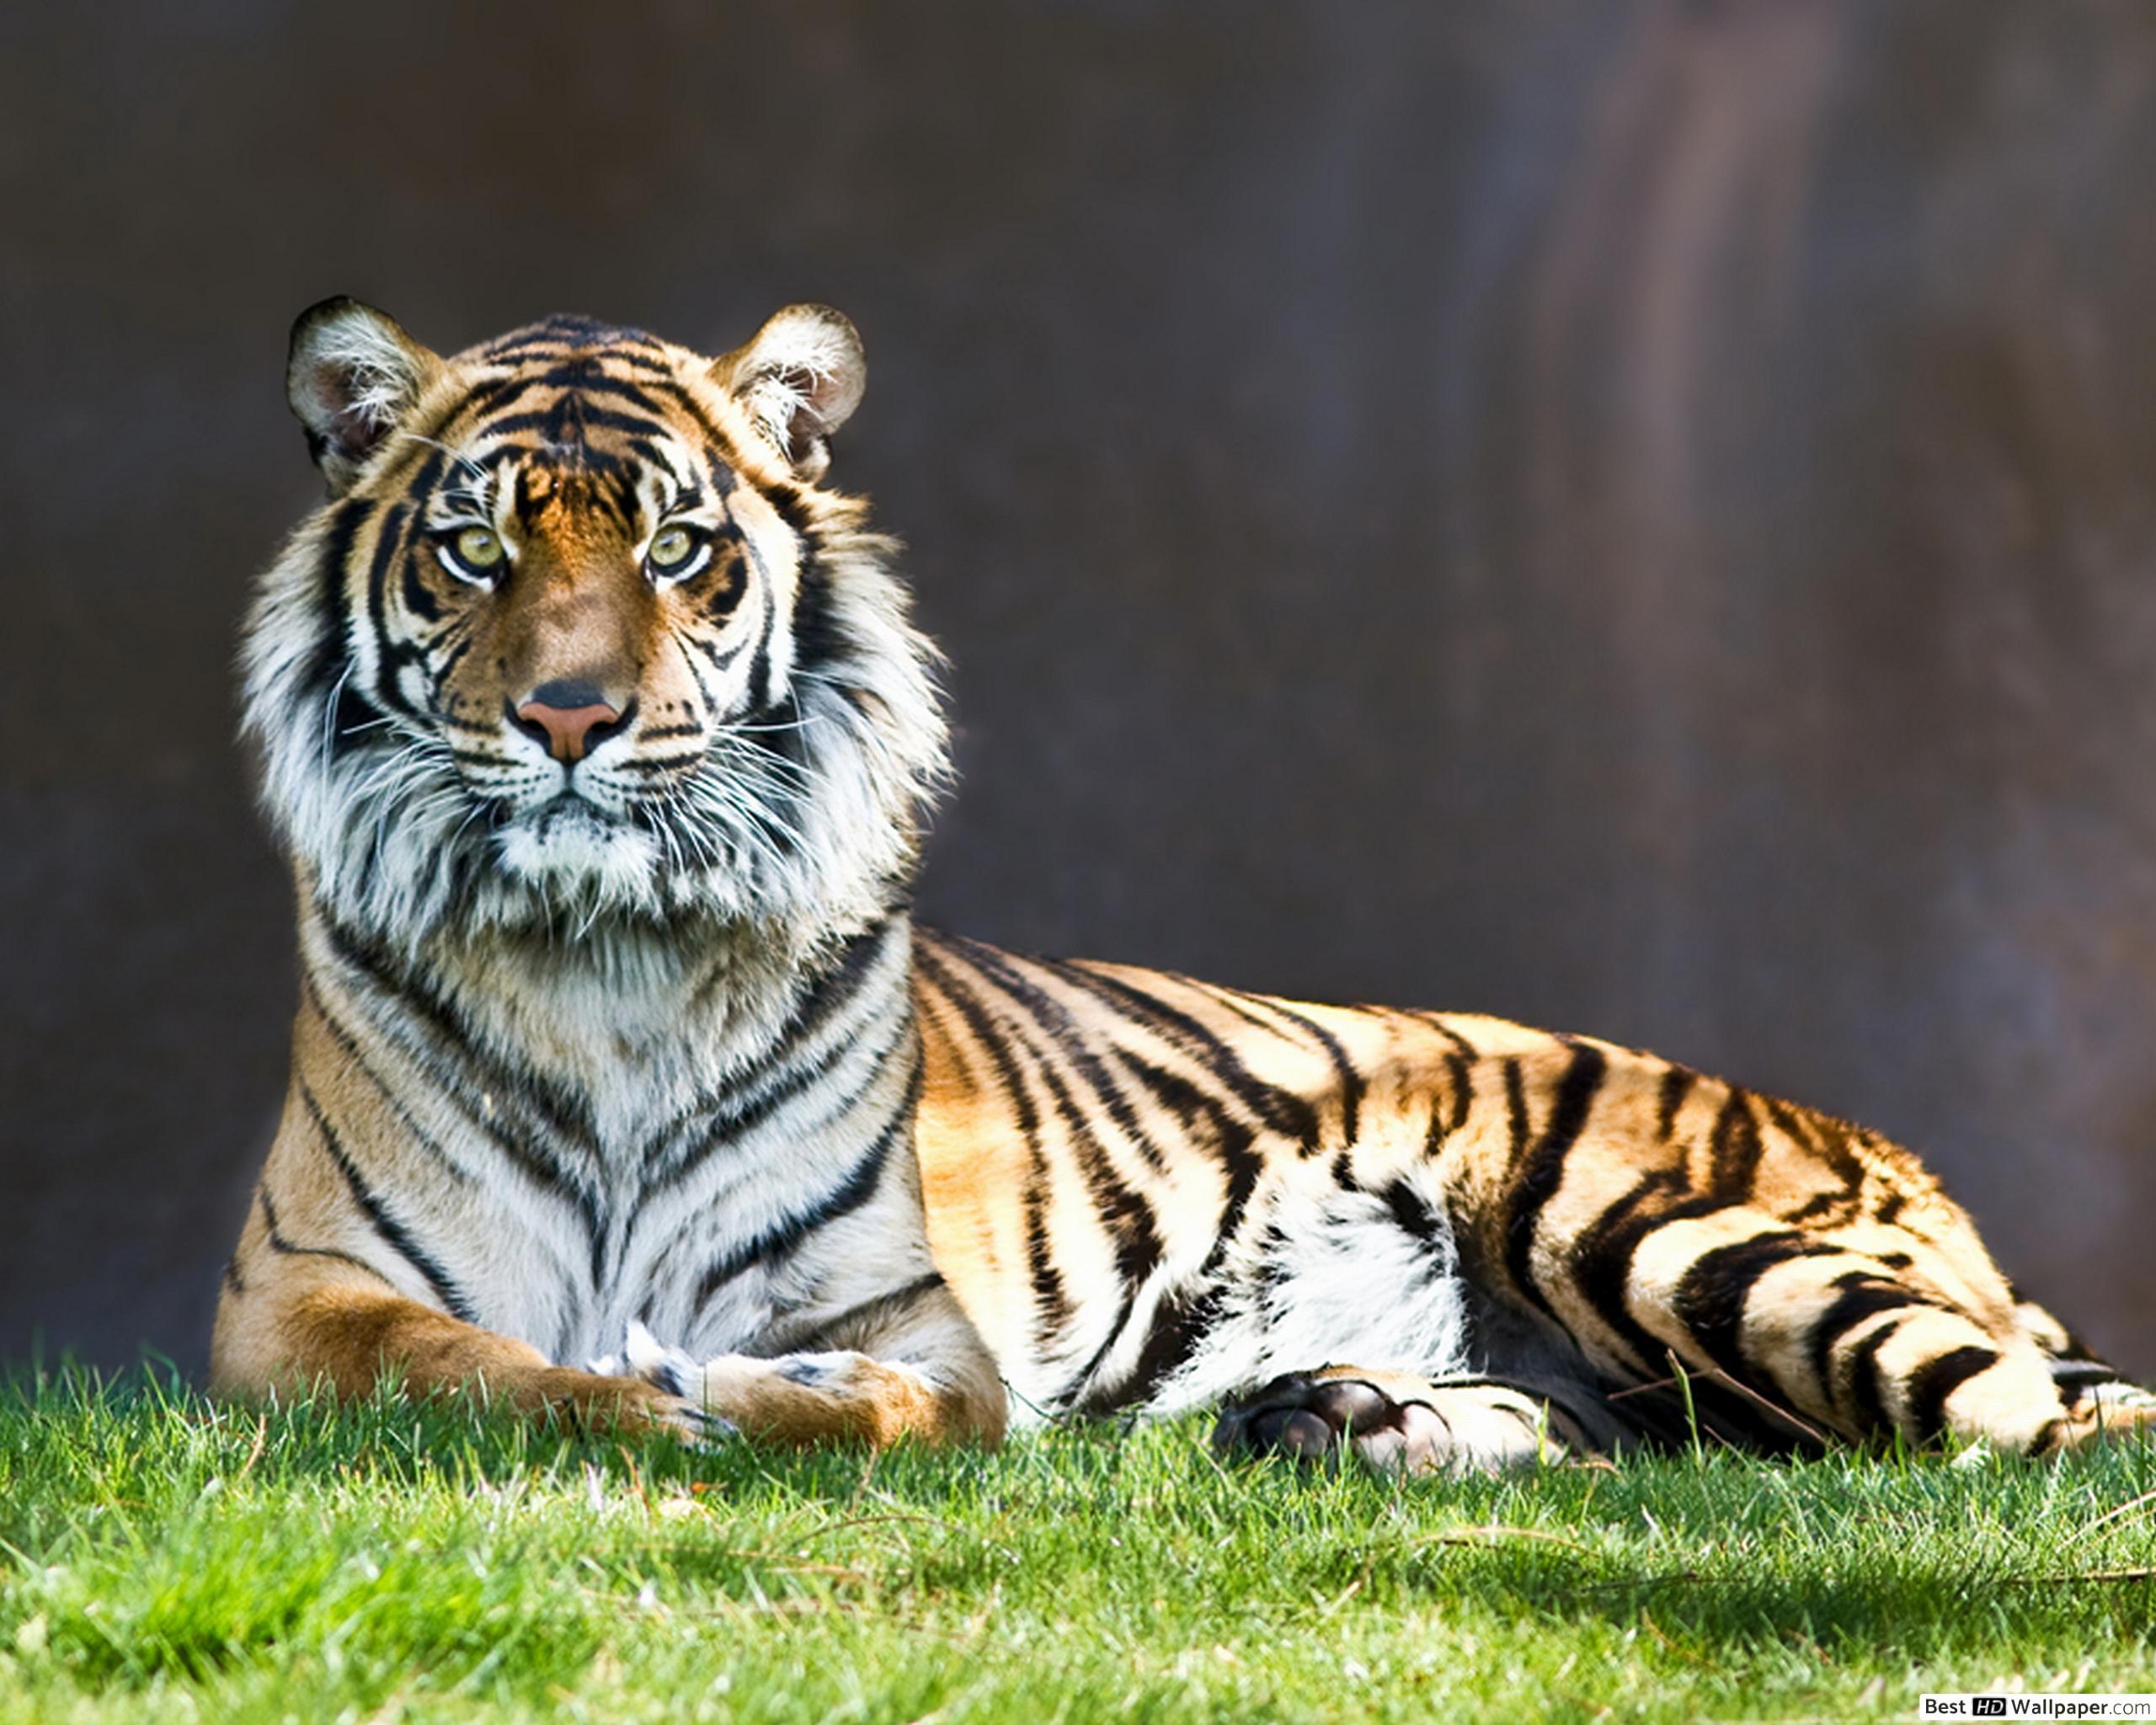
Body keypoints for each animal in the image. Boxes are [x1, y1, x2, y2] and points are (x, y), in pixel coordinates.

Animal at [211, 296, 2155, 1472]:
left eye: (679, 548)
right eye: (475, 549)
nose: (569, 716)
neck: (606, 959)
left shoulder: (919, 1322)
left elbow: (870, 1406)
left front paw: (738, 1391)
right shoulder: (292, 1306)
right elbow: (486, 1372)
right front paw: (645, 1392)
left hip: (1675, 1234)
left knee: (2044, 1435)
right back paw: (1345, 1416)